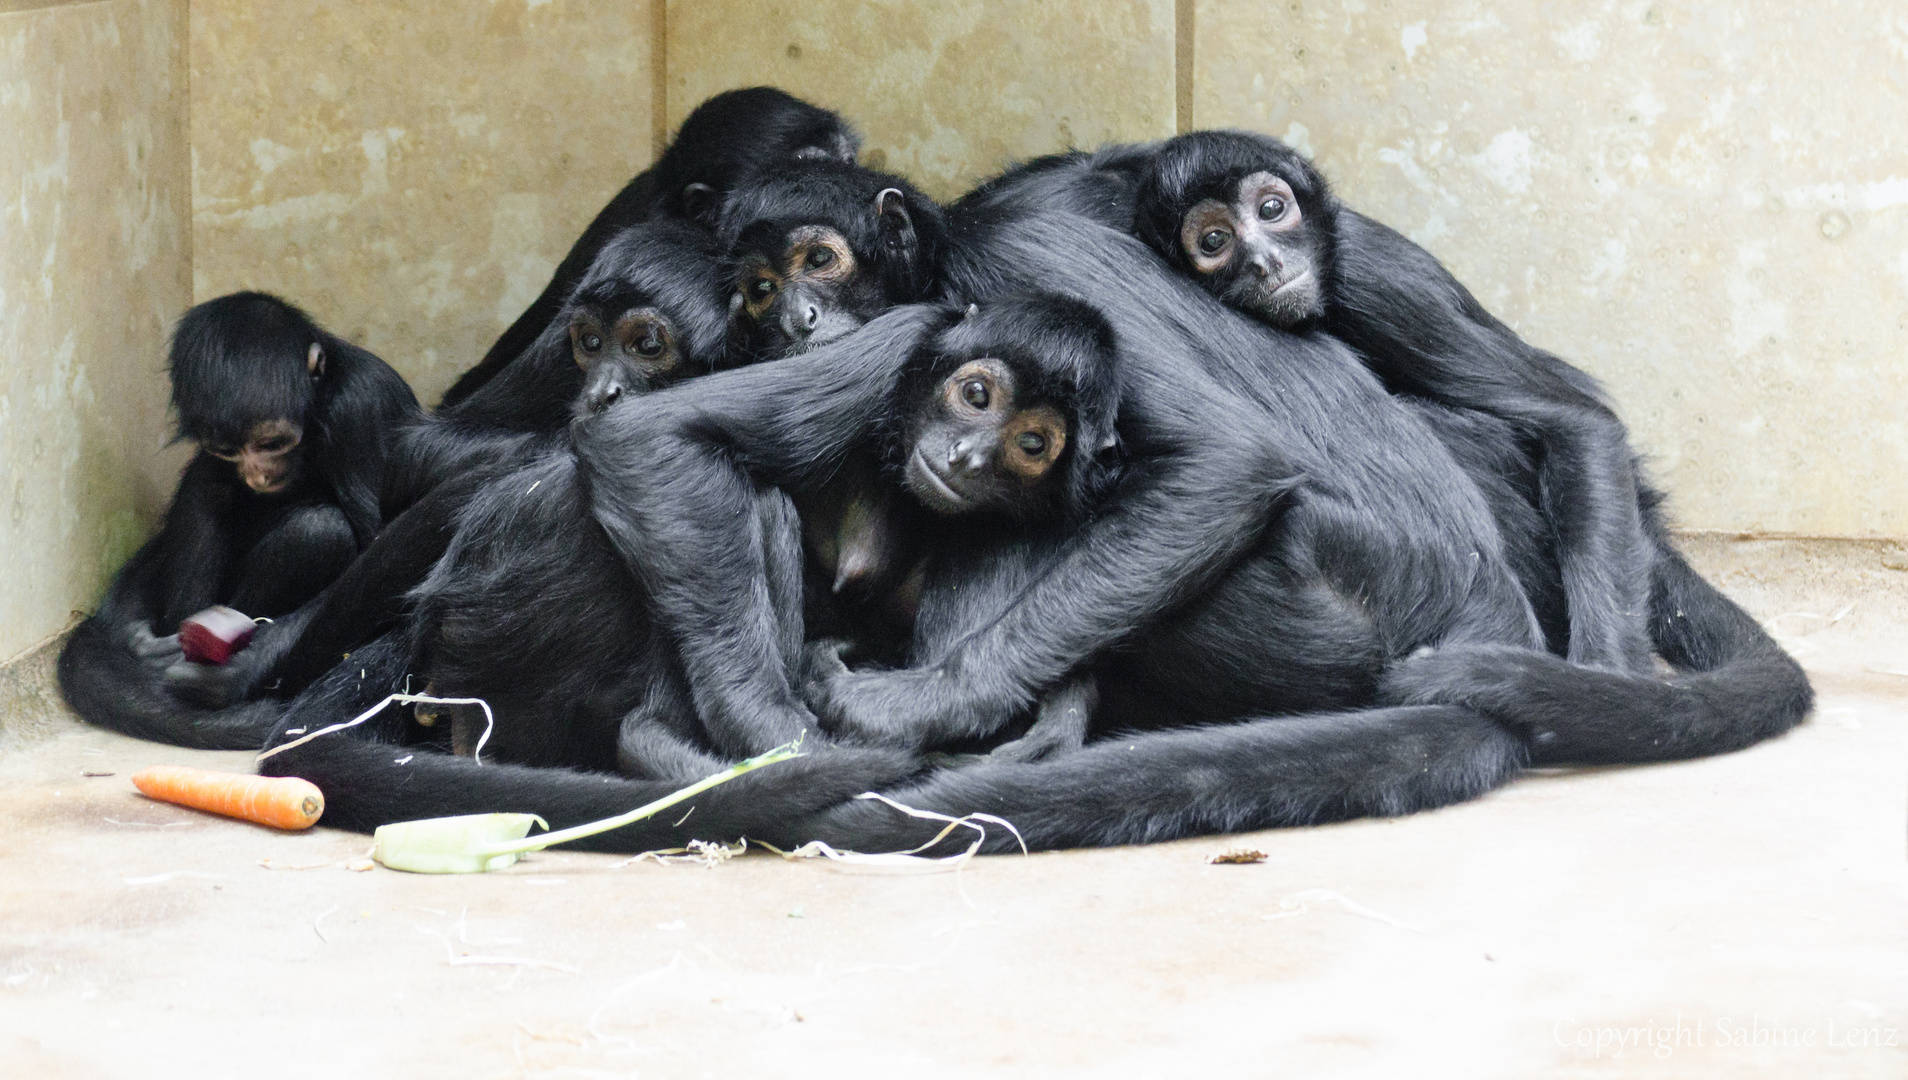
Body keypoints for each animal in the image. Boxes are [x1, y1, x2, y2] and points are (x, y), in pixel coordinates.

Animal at [57, 295, 419, 751]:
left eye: (272, 444)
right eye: (229, 449)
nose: (257, 475)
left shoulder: (362, 407)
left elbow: (384, 553)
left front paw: (233, 674)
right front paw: (138, 642)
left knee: (318, 529)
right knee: (208, 483)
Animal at [1129, 131, 1816, 767]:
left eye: (1272, 209)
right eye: (1214, 242)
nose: (1266, 261)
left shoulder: (1372, 277)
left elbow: (1576, 419)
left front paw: (1609, 687)